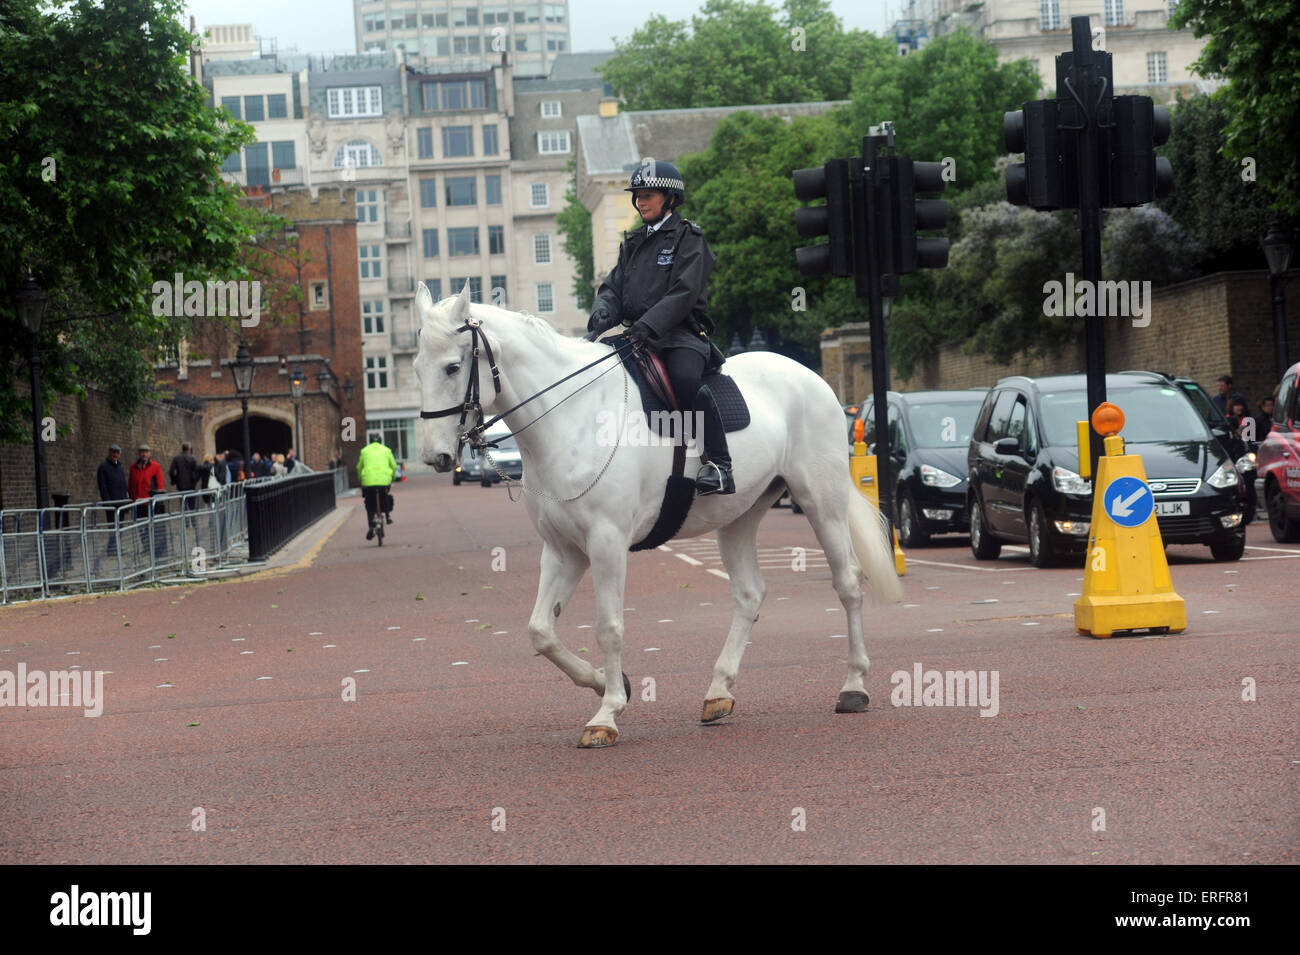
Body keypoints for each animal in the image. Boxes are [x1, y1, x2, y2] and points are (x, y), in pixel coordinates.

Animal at [416, 283, 904, 748]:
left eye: (453, 367)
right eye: (418, 366)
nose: (435, 457)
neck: (573, 418)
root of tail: (808, 376)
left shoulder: (607, 543)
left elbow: (608, 627)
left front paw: (607, 714)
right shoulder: (563, 550)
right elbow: (541, 631)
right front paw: (605, 684)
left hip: (821, 502)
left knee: (847, 584)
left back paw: (854, 687)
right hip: (739, 516)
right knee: (749, 594)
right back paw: (719, 691)